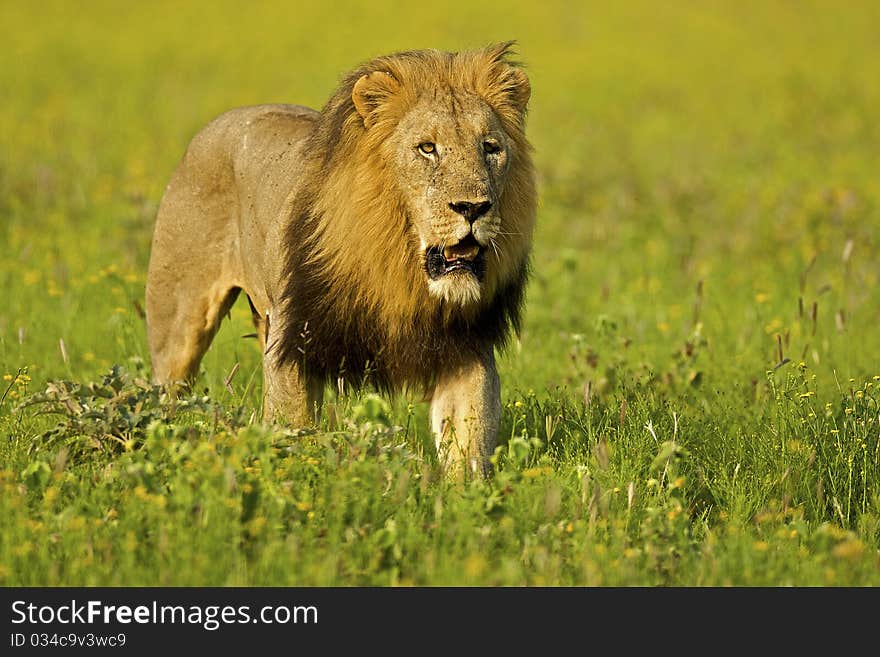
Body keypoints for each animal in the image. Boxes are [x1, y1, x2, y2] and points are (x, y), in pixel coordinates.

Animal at [144, 42, 536, 476]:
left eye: (490, 147)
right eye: (427, 148)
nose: (473, 208)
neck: (400, 265)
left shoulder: (466, 345)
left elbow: (468, 439)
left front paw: (468, 492)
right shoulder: (294, 337)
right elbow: (293, 429)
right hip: (178, 325)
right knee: (167, 389)